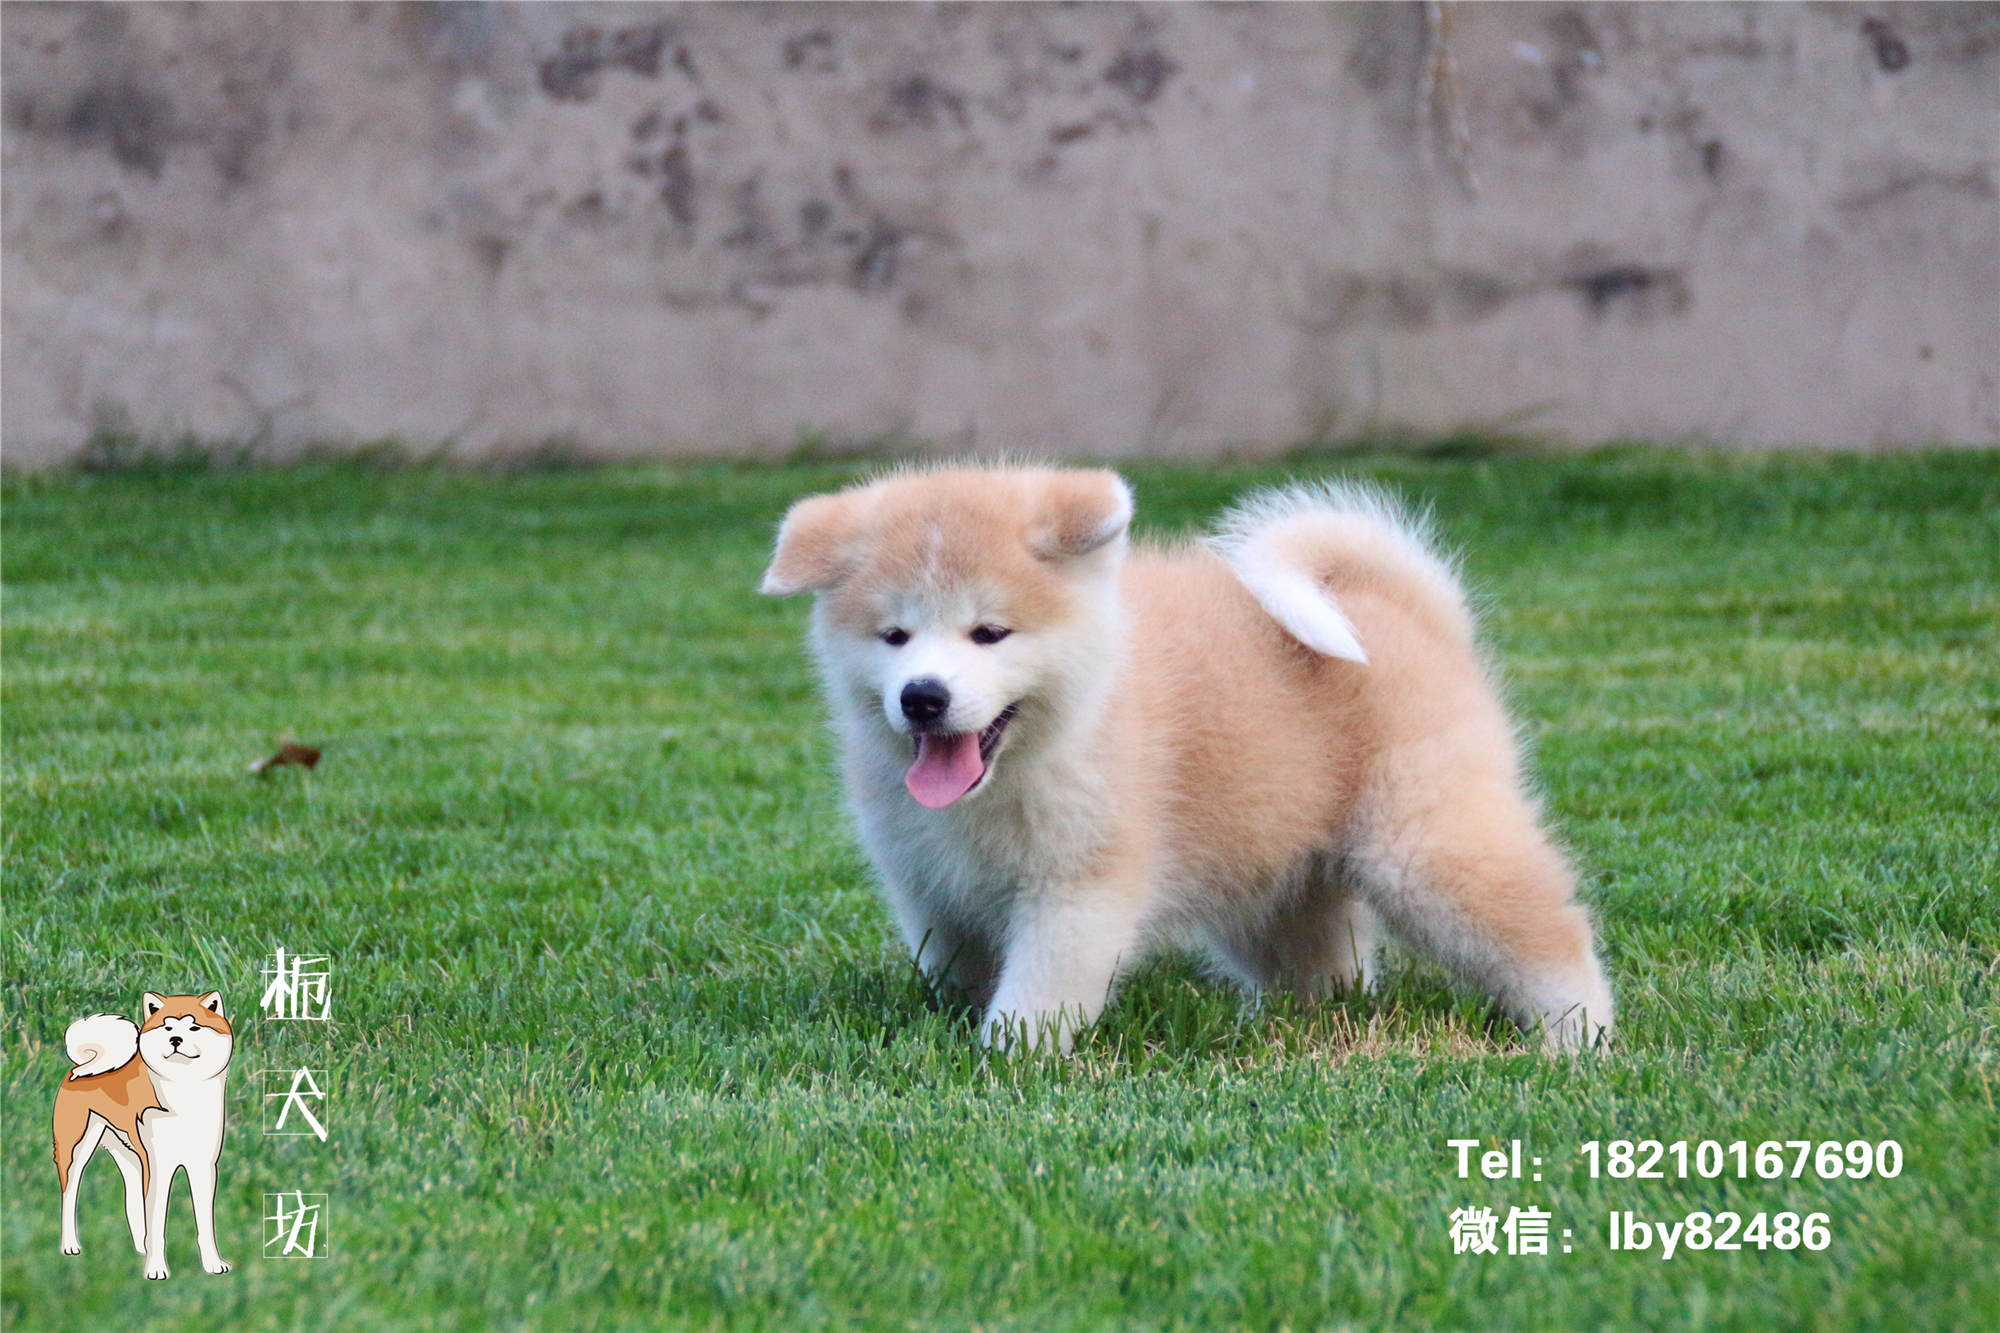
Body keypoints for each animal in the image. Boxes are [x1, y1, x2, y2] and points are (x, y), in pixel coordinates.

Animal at [53, 992, 234, 1272]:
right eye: (167, 1027)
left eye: (194, 1027)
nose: (175, 1040)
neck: (185, 1094)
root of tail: (81, 1066)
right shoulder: (158, 1166)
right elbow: (158, 1223)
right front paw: (156, 1269)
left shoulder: (202, 1166)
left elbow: (204, 1224)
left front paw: (212, 1265)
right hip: (77, 1150)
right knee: (69, 1194)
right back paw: (70, 1246)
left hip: (131, 1158)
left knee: (132, 1203)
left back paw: (140, 1249)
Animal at [756, 464, 1616, 1048]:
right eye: (894, 636)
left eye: (989, 632)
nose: (924, 697)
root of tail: (1407, 608)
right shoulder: (930, 885)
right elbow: (955, 963)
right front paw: (951, 1023)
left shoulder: (1081, 885)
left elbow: (1039, 991)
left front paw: (1005, 1058)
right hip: (1277, 874)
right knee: (1328, 963)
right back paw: (1301, 1020)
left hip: (1425, 845)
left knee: (1546, 929)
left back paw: (1580, 1038)